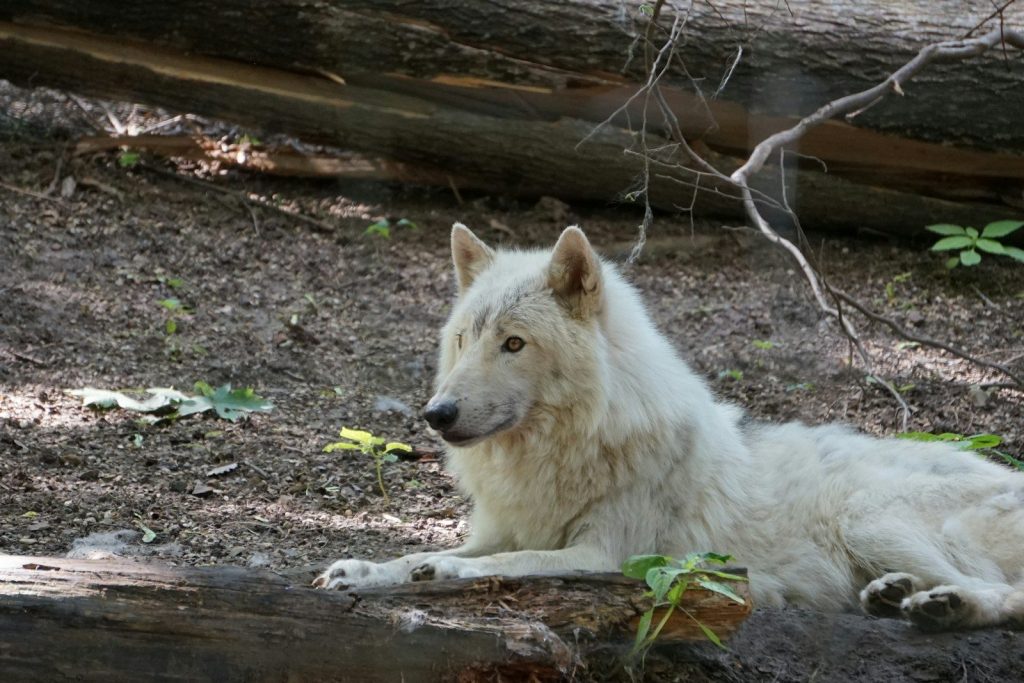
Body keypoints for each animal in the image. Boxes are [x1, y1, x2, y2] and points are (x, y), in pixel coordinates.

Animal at [315, 223, 1024, 630]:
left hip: (867, 516)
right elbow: (422, 553)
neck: (564, 451)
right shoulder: (501, 528)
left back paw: (947, 607)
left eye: (514, 344)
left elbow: (511, 564)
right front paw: (363, 570)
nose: (437, 415)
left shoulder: (608, 556)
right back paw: (891, 596)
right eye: (464, 340)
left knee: (1003, 593)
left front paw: (437, 571)